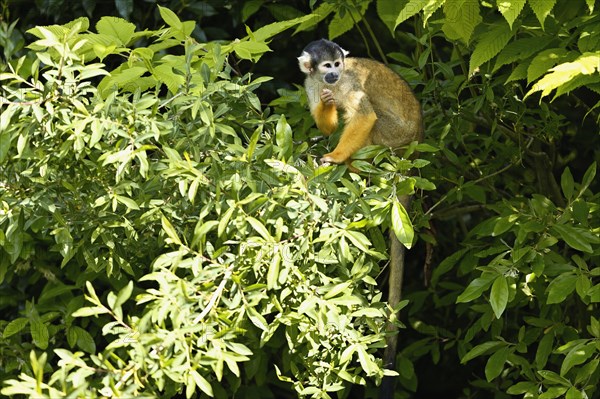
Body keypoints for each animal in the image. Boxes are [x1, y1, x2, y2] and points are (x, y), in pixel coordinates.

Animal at [298, 39, 424, 398]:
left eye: (338, 65)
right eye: (326, 67)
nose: (335, 74)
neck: (332, 83)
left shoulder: (350, 85)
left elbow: (364, 115)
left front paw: (335, 156)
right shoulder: (311, 84)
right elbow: (327, 118)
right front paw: (326, 112)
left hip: (396, 139)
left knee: (372, 119)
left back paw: (350, 165)